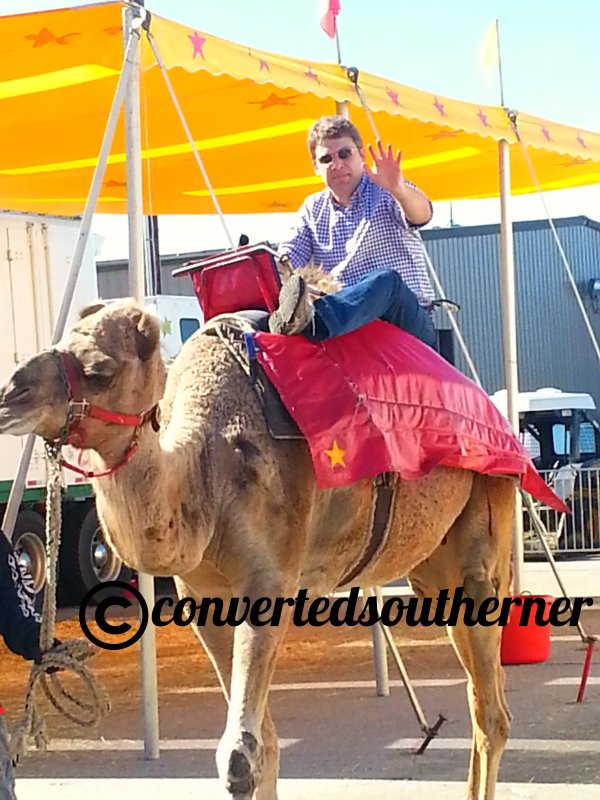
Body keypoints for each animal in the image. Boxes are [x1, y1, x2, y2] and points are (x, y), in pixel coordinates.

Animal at [0, 298, 517, 800]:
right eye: (59, 340)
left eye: (99, 370)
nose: (10, 393)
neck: (207, 466)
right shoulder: (201, 593)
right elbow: (261, 745)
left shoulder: (270, 578)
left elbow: (238, 757)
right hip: (432, 569)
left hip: (486, 520)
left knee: (492, 710)